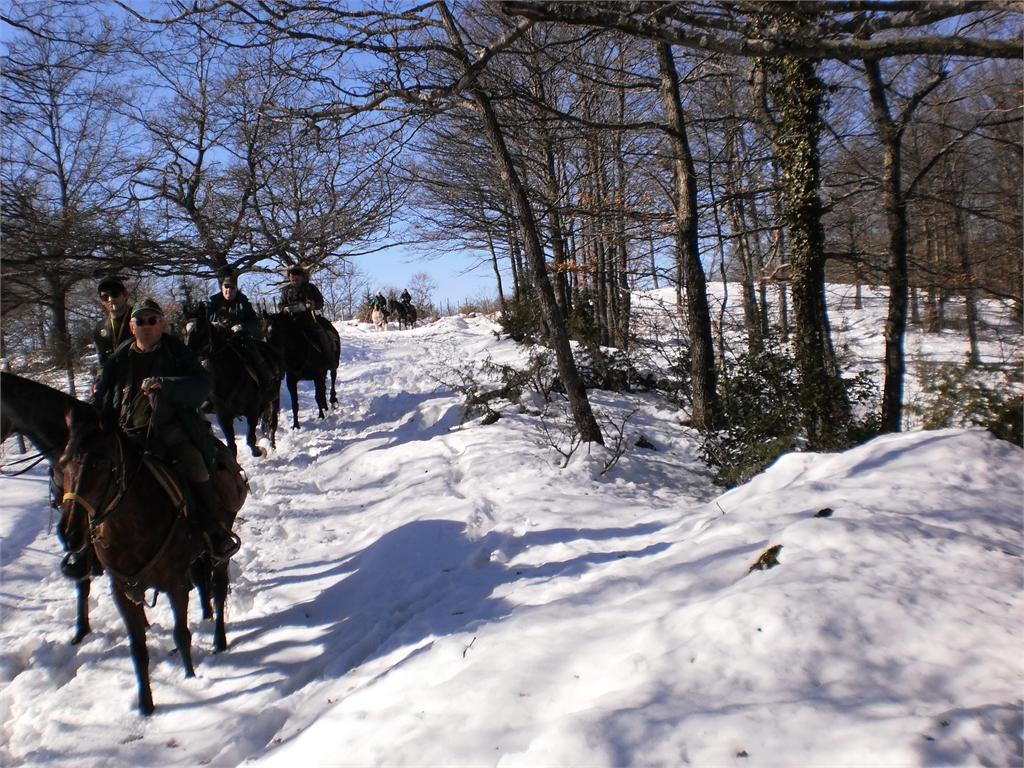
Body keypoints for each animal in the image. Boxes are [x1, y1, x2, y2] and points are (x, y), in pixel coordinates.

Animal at [59, 403, 242, 714]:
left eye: (100, 464)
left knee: (217, 589)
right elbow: (138, 649)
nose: (69, 533)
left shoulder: (174, 583)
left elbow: (181, 633)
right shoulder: (123, 592)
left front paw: (190, 679)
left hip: (221, 545)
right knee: (203, 583)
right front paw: (146, 704)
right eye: (63, 464)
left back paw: (219, 640)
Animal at [182, 305, 282, 457]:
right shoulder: (223, 417)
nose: (187, 356)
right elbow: (231, 446)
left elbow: (250, 438)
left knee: (272, 424)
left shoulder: (252, 410)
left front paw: (260, 451)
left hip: (274, 398)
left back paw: (272, 447)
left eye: (201, 329)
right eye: (184, 331)